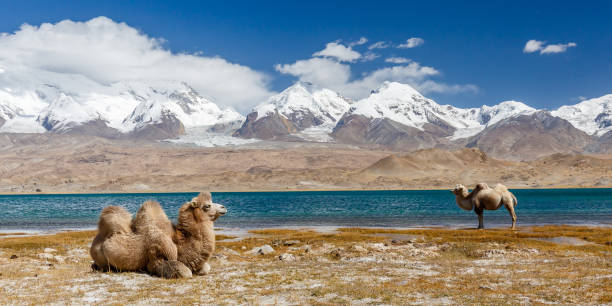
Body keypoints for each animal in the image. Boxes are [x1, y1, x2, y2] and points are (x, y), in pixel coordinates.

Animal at [89, 192, 226, 278]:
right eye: (207, 206)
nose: (223, 207)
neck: (180, 244)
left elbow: (206, 268)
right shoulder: (157, 258)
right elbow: (186, 272)